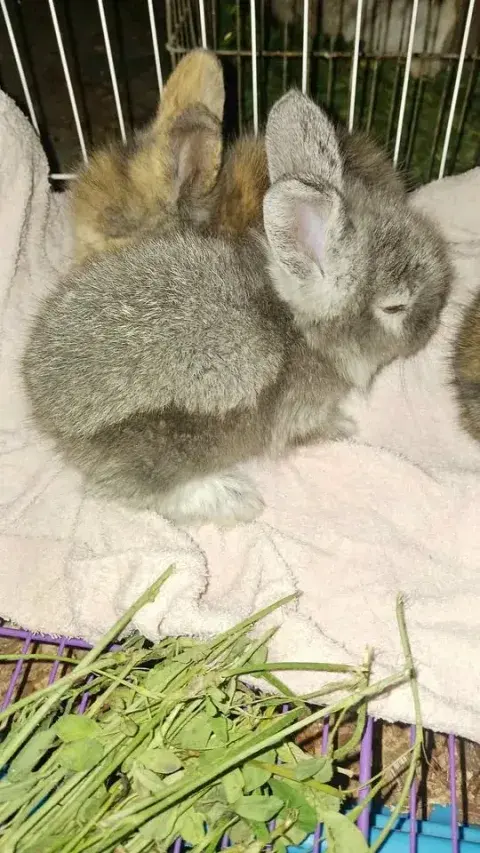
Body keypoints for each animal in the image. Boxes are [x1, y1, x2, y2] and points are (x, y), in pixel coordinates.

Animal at [22, 90, 451, 527]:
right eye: (396, 306)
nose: (434, 322)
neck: (297, 325)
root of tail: (43, 404)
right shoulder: (300, 412)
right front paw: (344, 425)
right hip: (160, 451)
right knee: (136, 491)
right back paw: (234, 498)